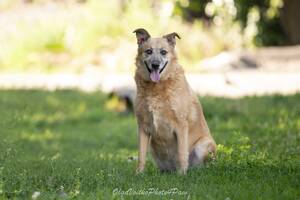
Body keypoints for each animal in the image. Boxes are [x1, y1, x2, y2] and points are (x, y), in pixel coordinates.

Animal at [133, 27, 216, 174]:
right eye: (148, 51)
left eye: (163, 52)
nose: (155, 65)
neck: (157, 88)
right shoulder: (143, 127)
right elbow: (141, 155)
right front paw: (139, 174)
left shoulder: (181, 125)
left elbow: (182, 153)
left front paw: (181, 174)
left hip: (204, 145)